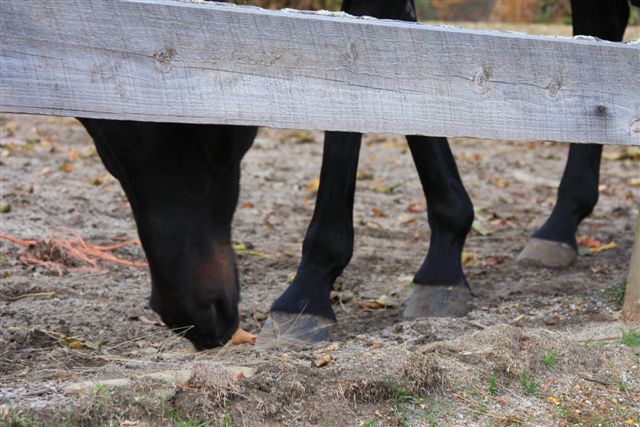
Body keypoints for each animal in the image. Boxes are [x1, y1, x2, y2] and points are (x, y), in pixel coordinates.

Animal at [79, 0, 632, 350]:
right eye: (107, 154)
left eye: (214, 143)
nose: (192, 317)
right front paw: (444, 252)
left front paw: (309, 292)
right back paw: (561, 223)